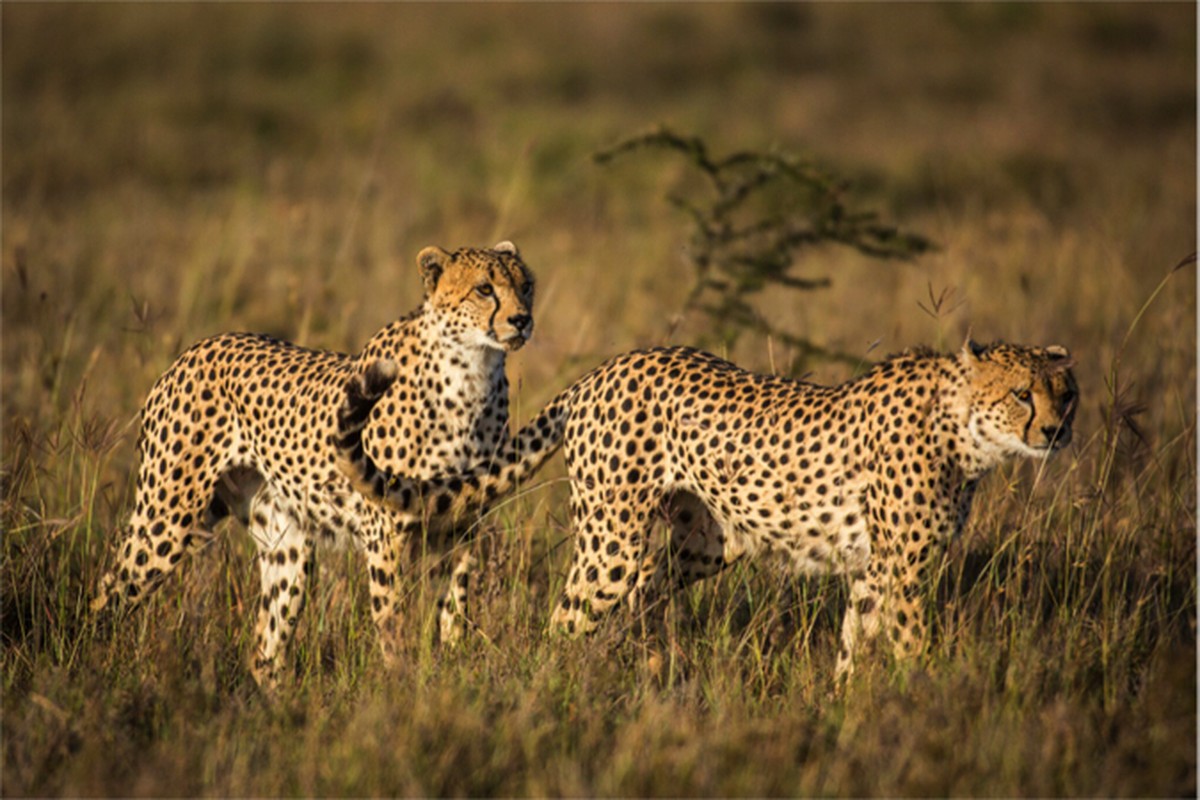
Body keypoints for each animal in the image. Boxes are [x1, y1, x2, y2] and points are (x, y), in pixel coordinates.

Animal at [93, 239, 540, 690]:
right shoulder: (386, 527)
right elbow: (392, 618)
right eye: (485, 289)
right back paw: (99, 664)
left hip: (285, 545)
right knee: (109, 590)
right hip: (167, 520)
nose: (522, 320)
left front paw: (453, 665)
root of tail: (196, 348)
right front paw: (401, 683)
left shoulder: (462, 521)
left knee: (265, 647)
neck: (472, 373)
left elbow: (455, 605)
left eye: (526, 285)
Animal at [336, 338, 1080, 676]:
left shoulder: (874, 571)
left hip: (707, 541)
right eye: (1021, 393)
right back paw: (558, 687)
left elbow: (855, 643)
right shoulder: (900, 572)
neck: (963, 427)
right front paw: (922, 701)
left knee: (644, 593)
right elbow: (909, 648)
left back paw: (639, 669)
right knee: (568, 616)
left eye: (1064, 392)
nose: (1054, 431)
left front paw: (847, 710)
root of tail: (607, 367)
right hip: (611, 540)